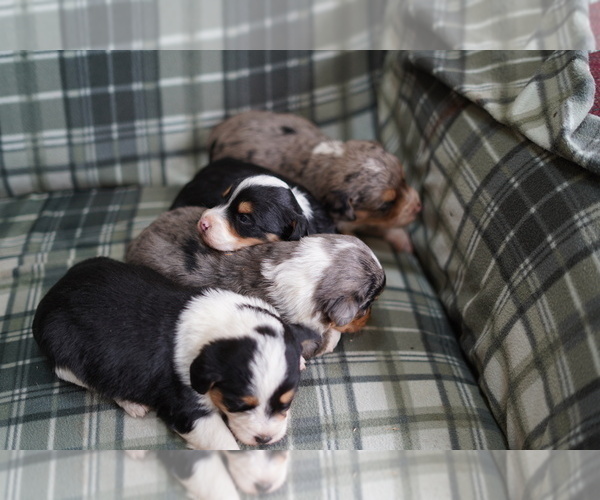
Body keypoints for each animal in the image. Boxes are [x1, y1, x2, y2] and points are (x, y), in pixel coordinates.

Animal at [32, 258, 312, 450]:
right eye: (236, 405)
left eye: (286, 403)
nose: (265, 439)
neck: (228, 325)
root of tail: (50, 296)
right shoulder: (185, 405)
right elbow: (223, 442)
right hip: (68, 356)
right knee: (97, 381)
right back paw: (133, 403)